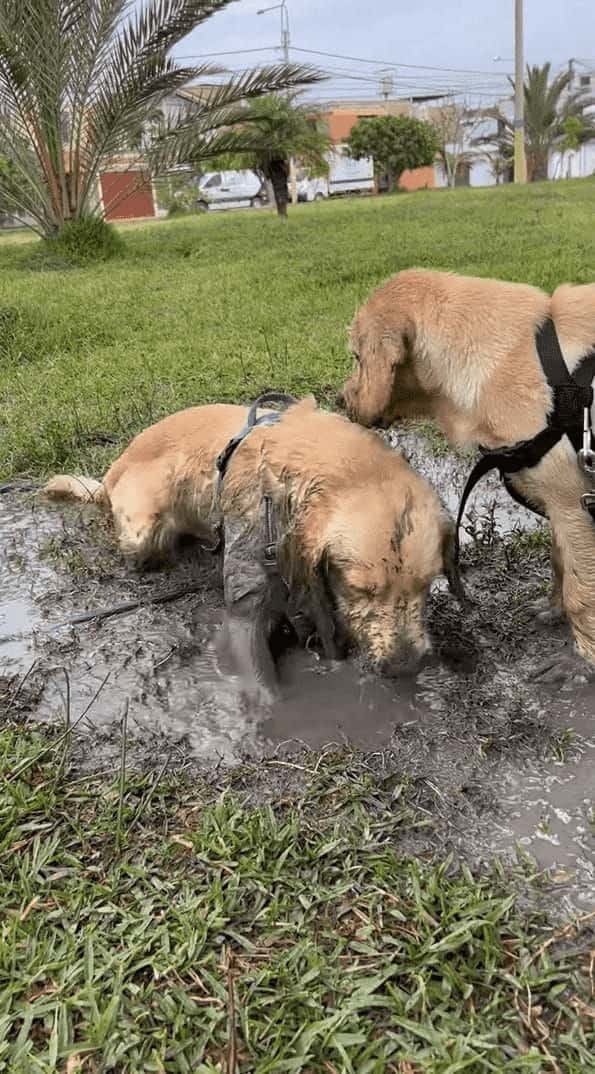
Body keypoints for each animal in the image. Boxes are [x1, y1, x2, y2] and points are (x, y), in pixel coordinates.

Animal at [44, 397, 455, 695]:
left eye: (428, 584)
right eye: (361, 589)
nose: (406, 666)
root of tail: (112, 471)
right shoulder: (245, 611)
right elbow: (261, 684)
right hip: (141, 530)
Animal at [335, 268, 592, 665]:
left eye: (357, 356)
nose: (339, 399)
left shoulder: (572, 503)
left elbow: (581, 593)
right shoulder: (562, 507)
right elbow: (560, 562)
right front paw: (552, 608)